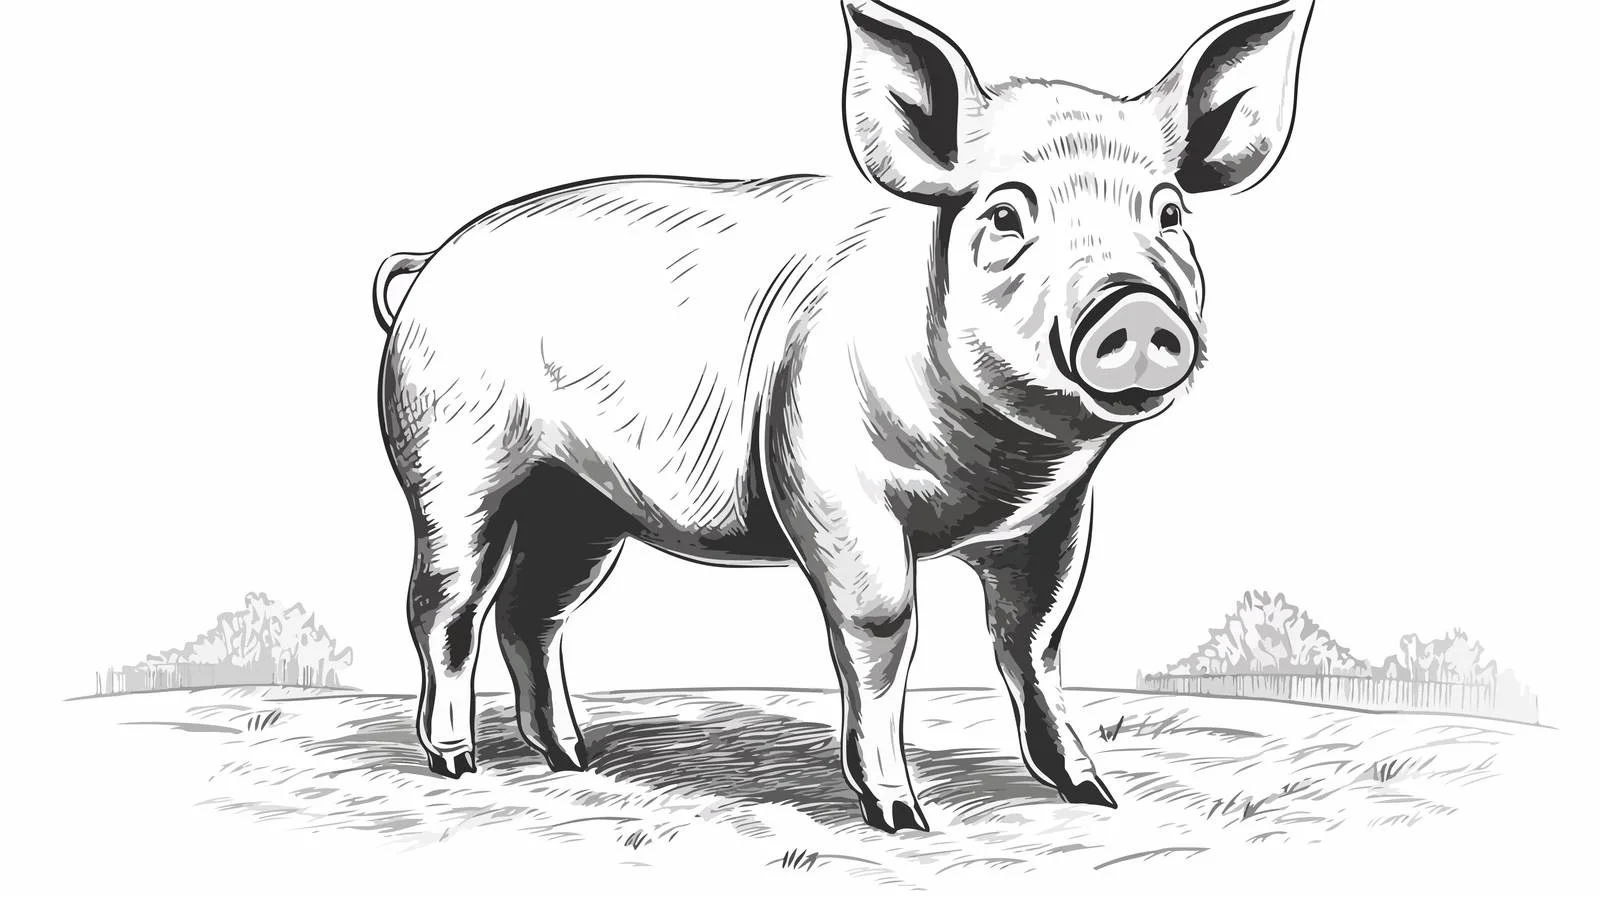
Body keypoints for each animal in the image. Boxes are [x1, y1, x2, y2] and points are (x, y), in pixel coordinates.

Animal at [374, 0, 1311, 833]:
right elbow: (884, 631)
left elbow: (1033, 642)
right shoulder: (828, 487)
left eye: (1170, 212)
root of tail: (428, 265)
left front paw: (1092, 794)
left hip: (584, 504)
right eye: (1007, 214)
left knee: (530, 613)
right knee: (446, 606)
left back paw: (574, 757)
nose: (1135, 308)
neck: (997, 472)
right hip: (452, 467)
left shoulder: (1056, 519)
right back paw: (455, 761)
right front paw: (903, 818)